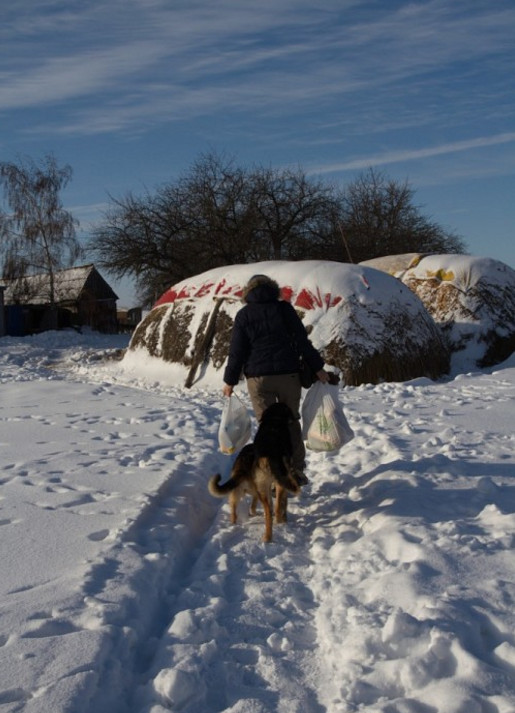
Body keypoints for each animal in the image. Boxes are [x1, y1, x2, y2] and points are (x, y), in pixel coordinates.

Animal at [209, 404, 300, 544]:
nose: (296, 417)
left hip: (253, 489)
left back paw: (264, 534)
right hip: (274, 484)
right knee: (276, 506)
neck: (274, 420)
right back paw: (277, 523)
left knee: (265, 510)